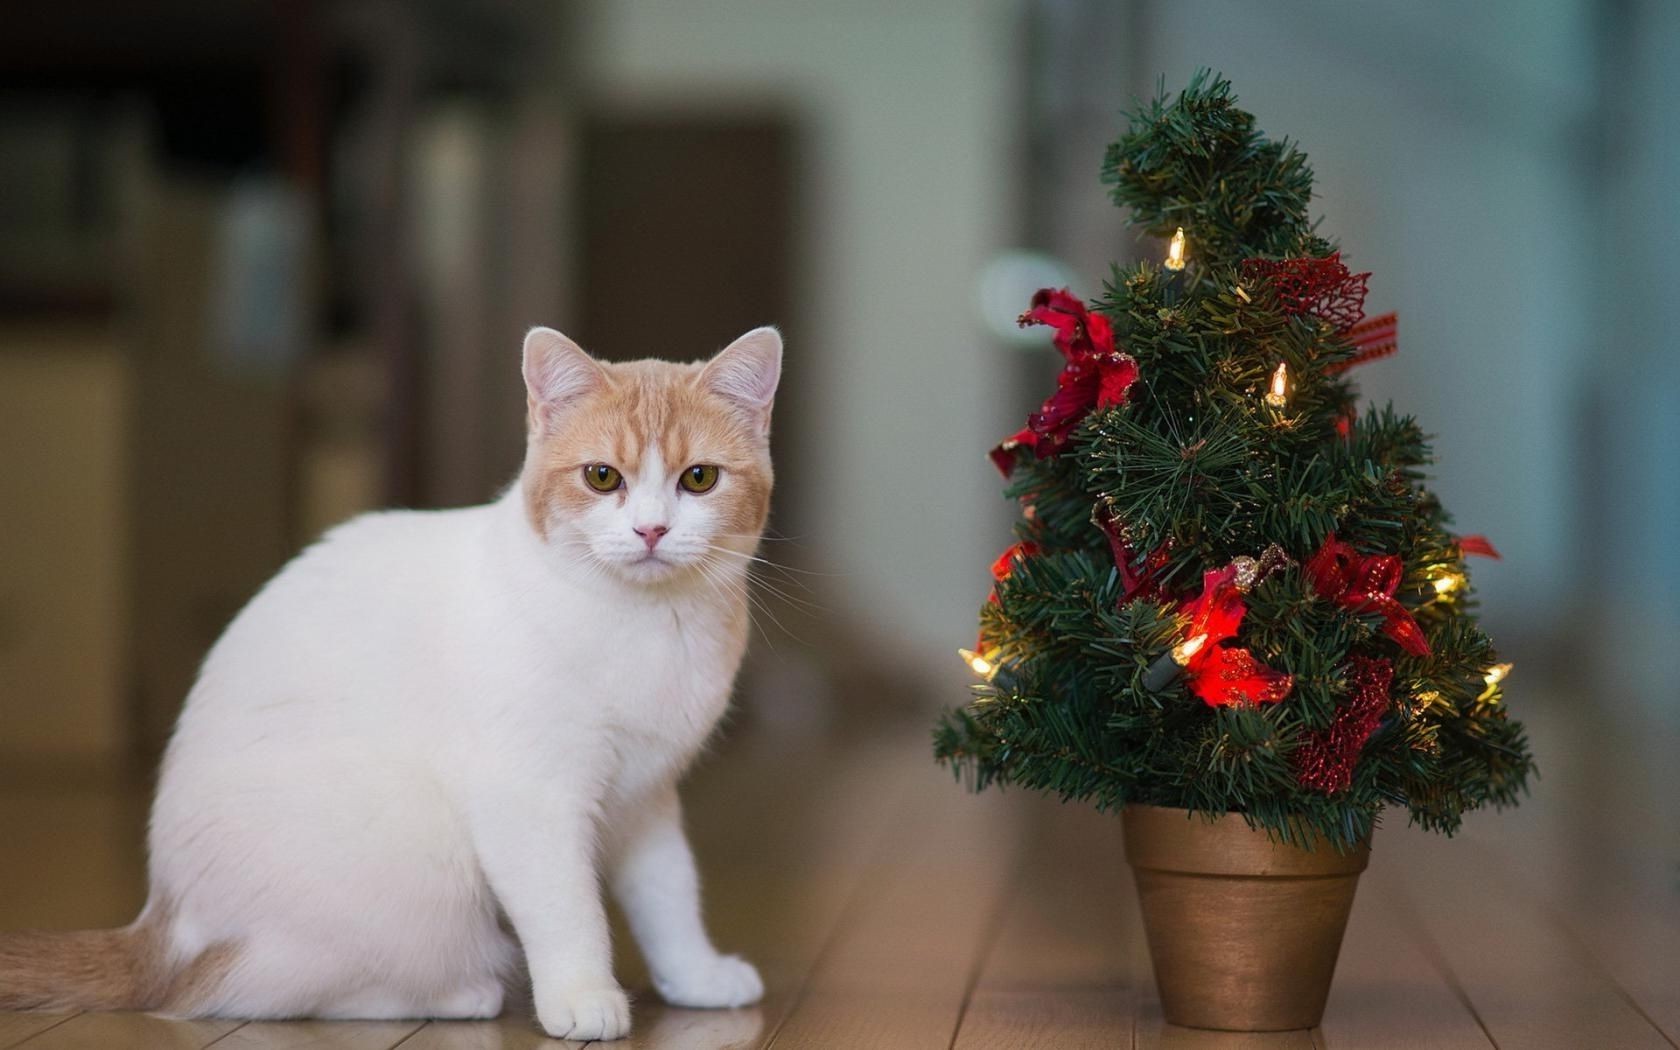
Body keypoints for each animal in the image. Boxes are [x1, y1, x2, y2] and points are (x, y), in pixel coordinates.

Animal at [0, 320, 782, 1041]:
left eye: (699, 479)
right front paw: (584, 997)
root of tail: (160, 924)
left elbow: (669, 893)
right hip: (415, 865)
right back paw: (461, 995)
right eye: (602, 478)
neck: (650, 625)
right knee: (239, 991)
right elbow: (568, 910)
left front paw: (696, 976)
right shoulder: (530, 799)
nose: (651, 531)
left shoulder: (645, 799)